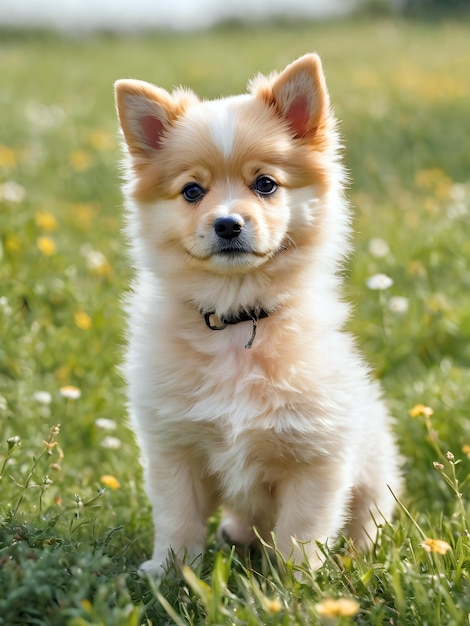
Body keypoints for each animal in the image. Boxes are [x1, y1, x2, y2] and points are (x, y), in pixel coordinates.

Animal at [113, 53, 400, 572]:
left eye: (265, 184)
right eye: (192, 191)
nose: (228, 224)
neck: (236, 320)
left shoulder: (318, 458)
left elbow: (300, 534)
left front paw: (296, 585)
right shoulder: (175, 449)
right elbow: (178, 518)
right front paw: (168, 571)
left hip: (375, 473)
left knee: (365, 522)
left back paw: (358, 560)